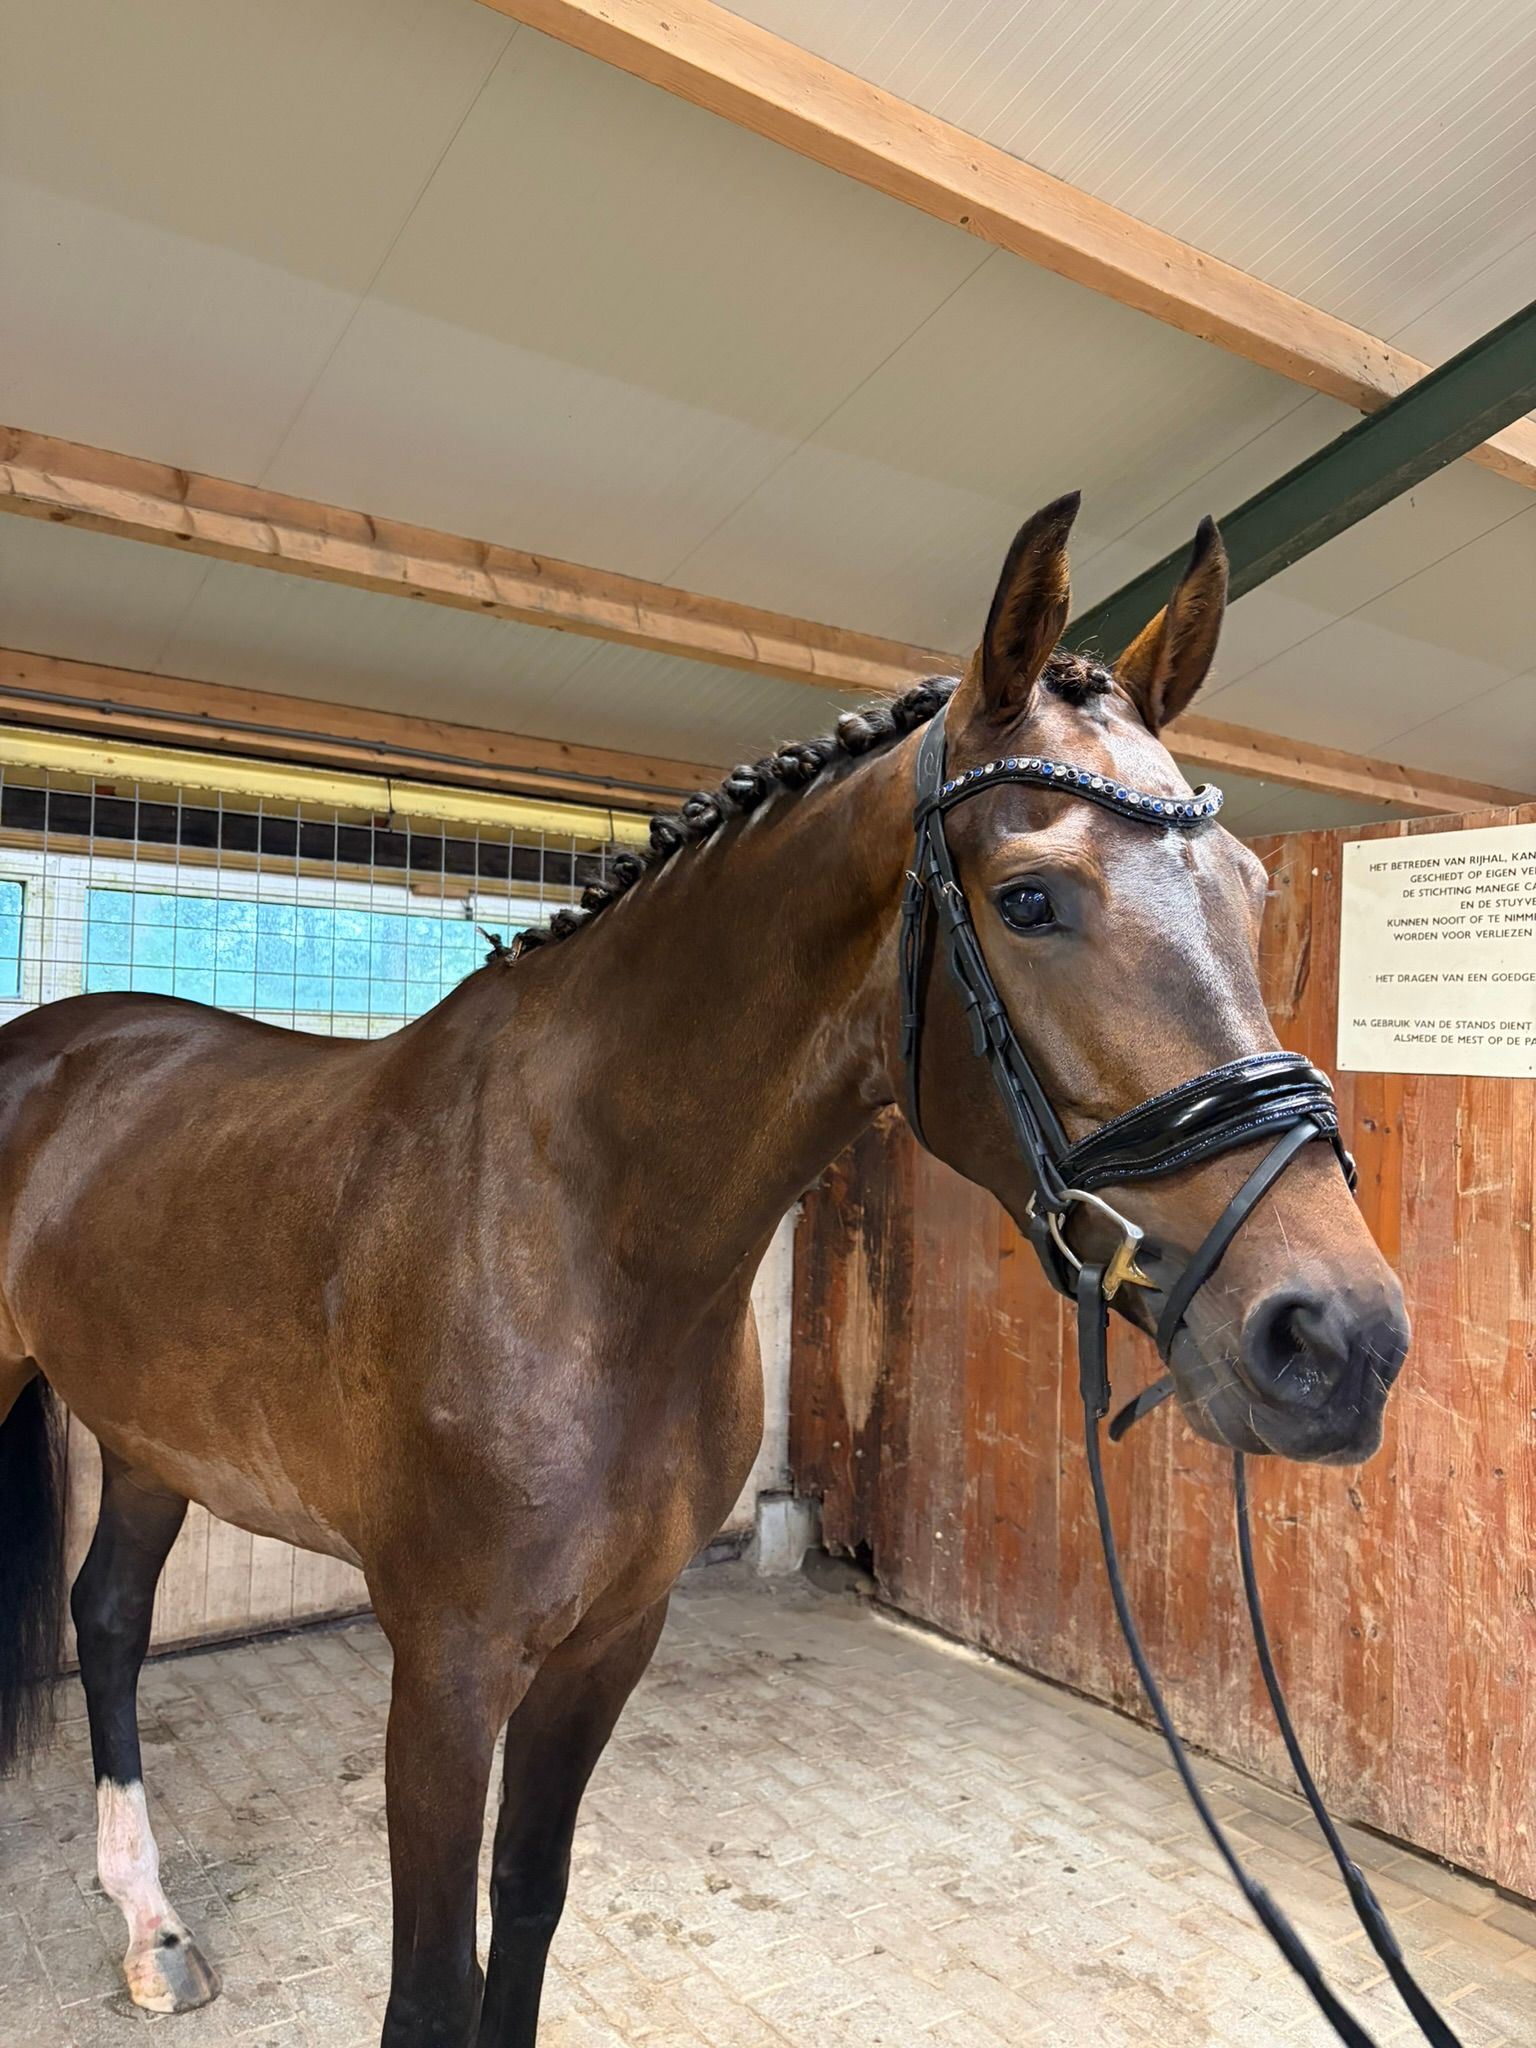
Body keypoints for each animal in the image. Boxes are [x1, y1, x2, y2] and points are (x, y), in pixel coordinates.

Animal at [0, 493, 1410, 2046]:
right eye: (1033, 899)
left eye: (1250, 888)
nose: (1337, 1340)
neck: (585, 1241)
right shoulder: (444, 1666)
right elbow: (432, 1984)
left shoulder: (609, 1642)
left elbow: (526, 1913)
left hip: (150, 1437)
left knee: (110, 1622)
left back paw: (150, 1927)